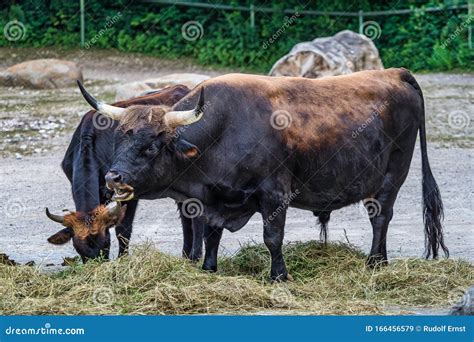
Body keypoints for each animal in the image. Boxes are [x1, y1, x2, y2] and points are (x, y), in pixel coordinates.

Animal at [44, 85, 206, 262]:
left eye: (106, 243)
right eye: (78, 248)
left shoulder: (128, 194)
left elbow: (123, 230)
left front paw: (123, 259)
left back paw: (194, 257)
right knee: (186, 218)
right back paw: (186, 256)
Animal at [78, 68, 448, 280]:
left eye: (152, 146)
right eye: (121, 139)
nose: (113, 178)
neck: (224, 129)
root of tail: (395, 72)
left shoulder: (274, 193)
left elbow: (272, 238)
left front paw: (278, 275)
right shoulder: (213, 199)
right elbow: (211, 234)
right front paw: (209, 268)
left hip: (393, 173)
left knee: (380, 216)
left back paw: (375, 263)